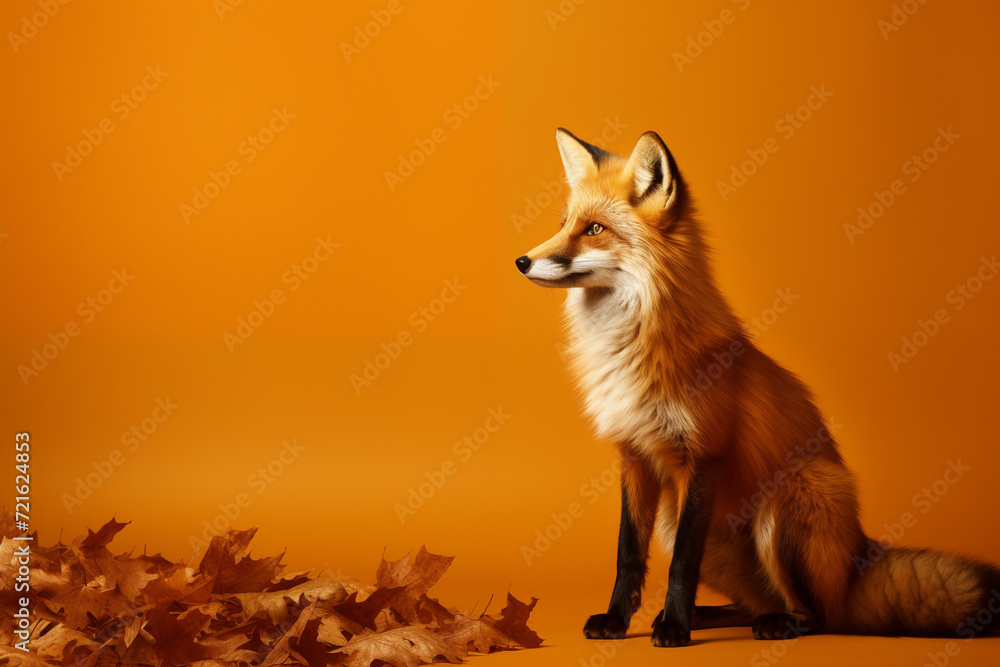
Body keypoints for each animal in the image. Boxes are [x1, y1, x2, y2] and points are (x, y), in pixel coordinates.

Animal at [514, 128, 1000, 647]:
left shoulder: (703, 456)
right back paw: (713, 614)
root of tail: (857, 562)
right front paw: (618, 620)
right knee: (753, 604)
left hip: (784, 506)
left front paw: (674, 628)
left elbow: (681, 563)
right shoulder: (635, 458)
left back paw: (771, 623)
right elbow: (628, 555)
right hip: (680, 520)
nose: (521, 261)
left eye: (594, 230)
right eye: (564, 224)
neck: (629, 347)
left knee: (821, 617)